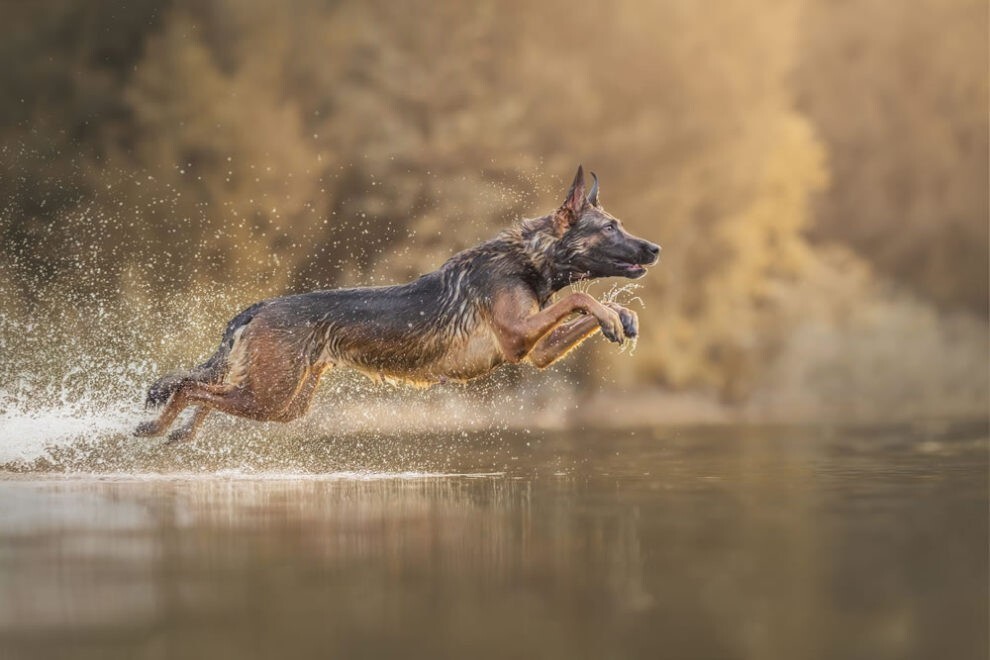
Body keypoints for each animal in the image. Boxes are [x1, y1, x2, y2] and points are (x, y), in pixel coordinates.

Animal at [132, 165, 660, 444]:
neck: (529, 257)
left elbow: (586, 303)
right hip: (271, 396)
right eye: (609, 227)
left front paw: (623, 316)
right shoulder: (515, 338)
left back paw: (181, 433)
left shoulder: (536, 352)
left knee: (208, 390)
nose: (655, 248)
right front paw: (612, 313)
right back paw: (157, 426)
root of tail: (257, 307)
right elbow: (583, 295)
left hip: (281, 402)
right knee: (189, 388)